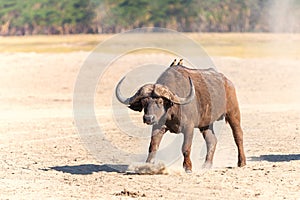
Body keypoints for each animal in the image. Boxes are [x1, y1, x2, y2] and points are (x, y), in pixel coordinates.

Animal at [115, 63, 246, 172]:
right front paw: (148, 165)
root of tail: (227, 82)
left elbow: (185, 147)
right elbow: (153, 146)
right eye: (144, 102)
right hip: (206, 124)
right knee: (211, 140)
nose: (148, 118)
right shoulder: (158, 126)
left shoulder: (189, 128)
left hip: (233, 113)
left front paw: (188, 167)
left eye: (160, 101)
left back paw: (242, 162)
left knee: (238, 136)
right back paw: (207, 165)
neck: (172, 109)